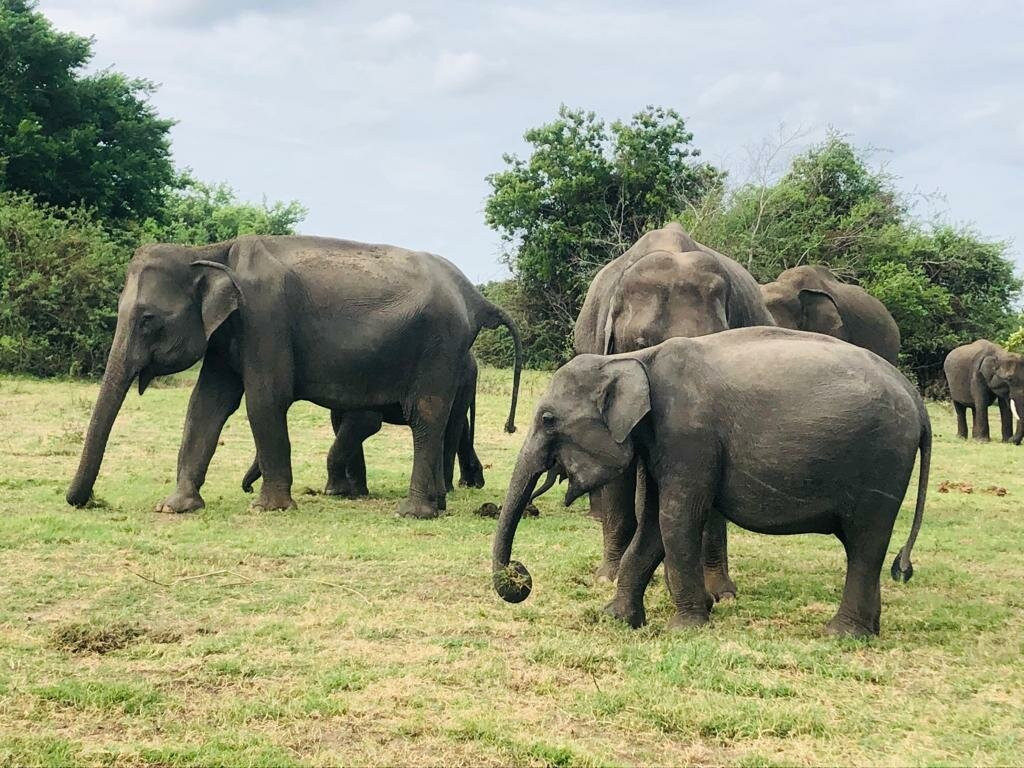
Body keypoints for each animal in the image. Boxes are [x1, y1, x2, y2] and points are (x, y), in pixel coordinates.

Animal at [245, 352, 489, 495]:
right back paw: (470, 483)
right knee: (460, 428)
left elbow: (366, 421)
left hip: (459, 383)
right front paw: (357, 492)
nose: (248, 489)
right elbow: (340, 423)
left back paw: (449, 488)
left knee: (452, 427)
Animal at [491, 327, 933, 638]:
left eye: (548, 419)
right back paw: (869, 630)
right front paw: (615, 619)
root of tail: (916, 401)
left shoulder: (689, 436)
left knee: (865, 541)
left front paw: (684, 629)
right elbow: (654, 524)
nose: (519, 577)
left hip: (883, 461)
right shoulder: (664, 442)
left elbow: (676, 519)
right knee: (865, 548)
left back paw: (841, 635)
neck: (631, 359)